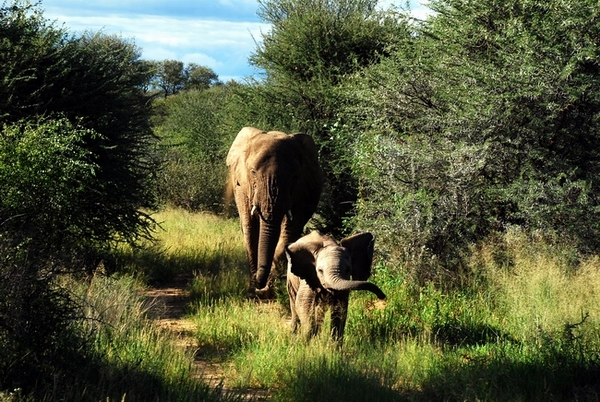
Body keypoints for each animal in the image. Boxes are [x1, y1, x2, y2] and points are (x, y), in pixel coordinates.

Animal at [226, 127, 324, 296]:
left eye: (294, 177)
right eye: (253, 172)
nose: (260, 285)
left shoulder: (302, 190)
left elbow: (289, 230)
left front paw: (269, 288)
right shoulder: (241, 186)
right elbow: (250, 229)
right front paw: (254, 290)